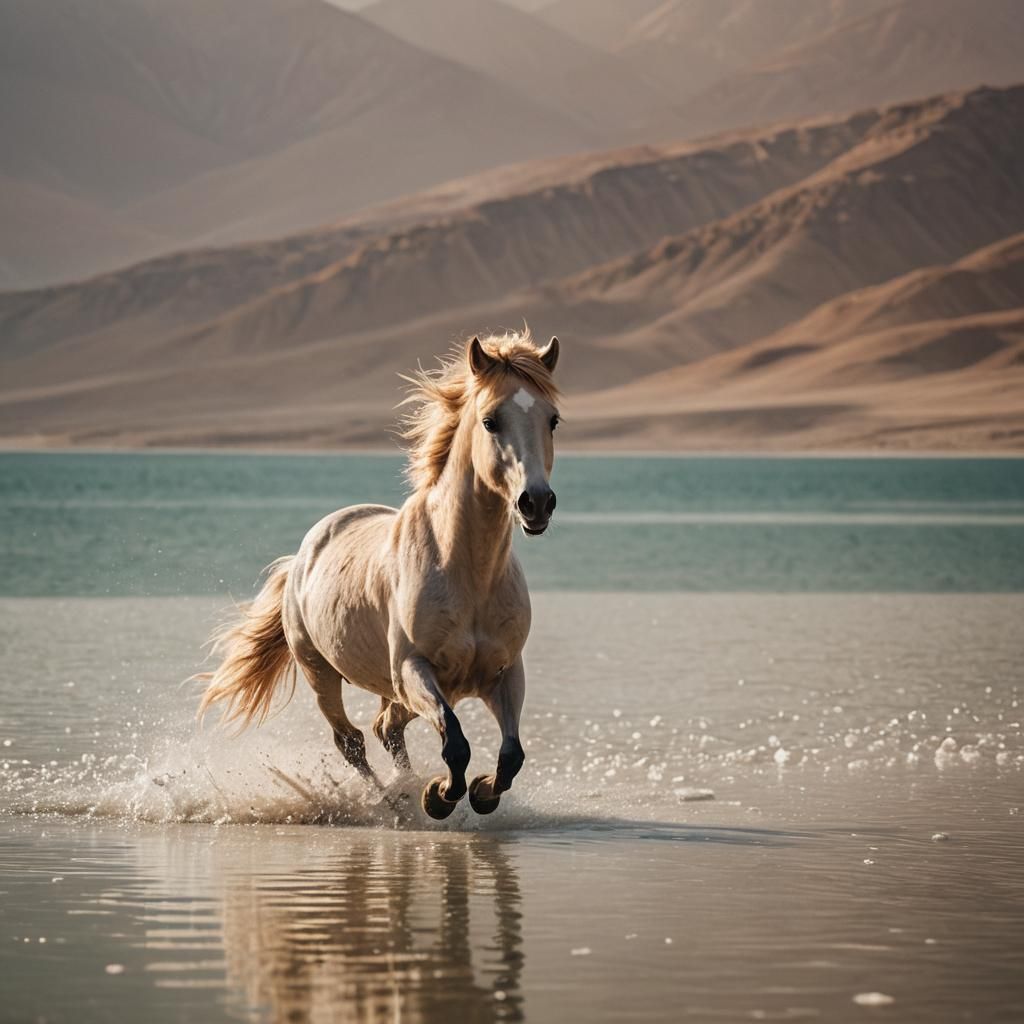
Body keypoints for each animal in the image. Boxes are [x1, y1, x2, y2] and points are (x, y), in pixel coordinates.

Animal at [198, 330, 561, 819]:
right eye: (490, 421)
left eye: (552, 420)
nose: (536, 503)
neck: (468, 575)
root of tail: (301, 557)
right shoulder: (414, 670)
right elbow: (456, 743)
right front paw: (438, 797)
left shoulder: (503, 673)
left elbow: (511, 755)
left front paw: (481, 792)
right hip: (322, 673)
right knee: (351, 740)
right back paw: (393, 800)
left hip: (390, 686)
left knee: (385, 727)